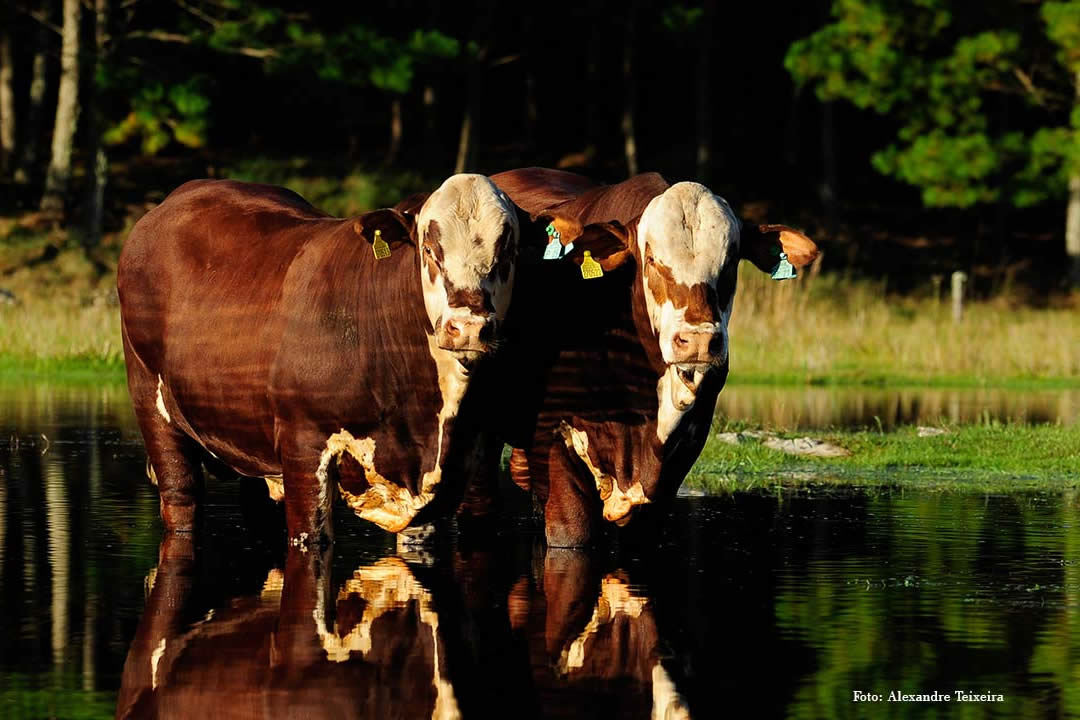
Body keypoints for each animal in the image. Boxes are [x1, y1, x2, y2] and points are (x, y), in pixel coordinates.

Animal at [119, 175, 600, 546]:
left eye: (509, 252)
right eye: (429, 250)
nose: (468, 327)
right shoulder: (303, 444)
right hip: (151, 405)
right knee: (181, 498)